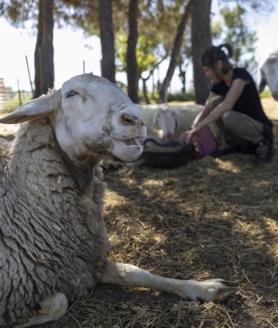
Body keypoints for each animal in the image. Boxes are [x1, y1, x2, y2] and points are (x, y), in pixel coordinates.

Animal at [0, 73, 235, 328]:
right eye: (71, 94)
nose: (134, 119)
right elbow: (59, 302)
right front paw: (25, 316)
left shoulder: (89, 263)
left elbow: (135, 271)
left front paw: (205, 287)